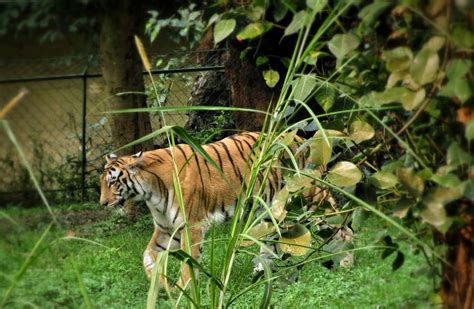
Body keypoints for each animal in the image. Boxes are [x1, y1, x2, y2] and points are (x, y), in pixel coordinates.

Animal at [98, 131, 332, 288]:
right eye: (102, 182)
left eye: (112, 182)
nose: (102, 203)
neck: (150, 191)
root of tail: (300, 139)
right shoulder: (167, 228)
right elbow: (147, 253)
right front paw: (160, 284)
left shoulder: (192, 226)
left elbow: (188, 263)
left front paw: (184, 290)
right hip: (267, 210)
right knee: (270, 240)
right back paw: (261, 272)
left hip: (310, 192)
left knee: (332, 216)